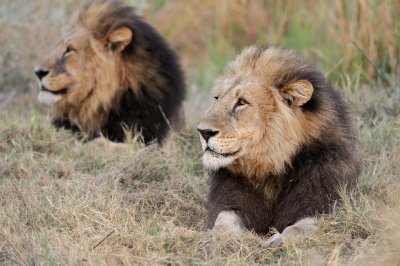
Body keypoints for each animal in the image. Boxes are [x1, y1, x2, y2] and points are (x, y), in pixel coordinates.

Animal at [198, 44, 362, 244]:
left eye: (241, 102)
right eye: (217, 98)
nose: (203, 132)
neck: (272, 168)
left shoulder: (322, 203)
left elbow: (301, 227)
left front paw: (278, 240)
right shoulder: (233, 201)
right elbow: (223, 221)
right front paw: (214, 238)